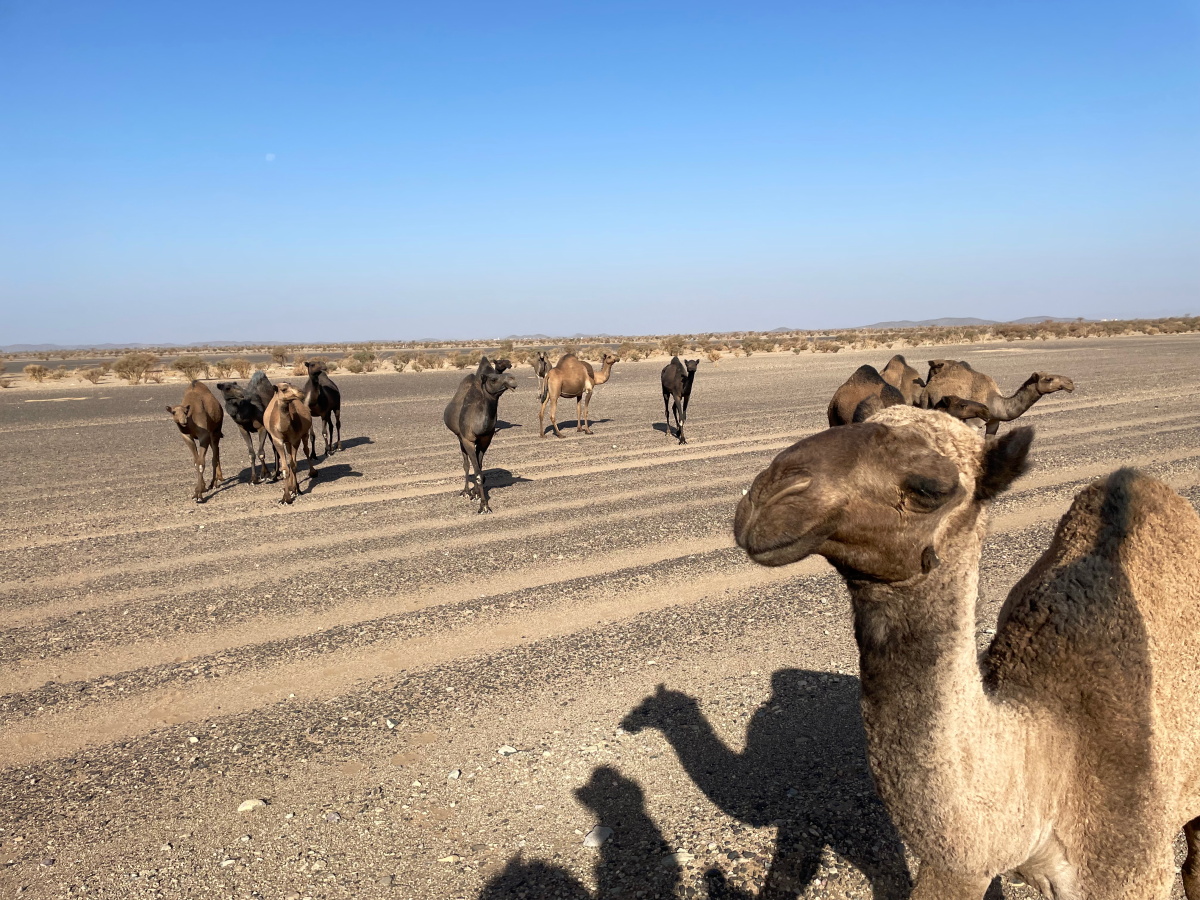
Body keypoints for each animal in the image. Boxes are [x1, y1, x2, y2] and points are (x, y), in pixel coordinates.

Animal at [444, 357, 517, 513]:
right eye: (494, 379)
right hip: (460, 437)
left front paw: (478, 495)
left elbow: (480, 469)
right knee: (466, 464)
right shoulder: (468, 440)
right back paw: (466, 491)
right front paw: (483, 506)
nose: (513, 379)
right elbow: (476, 472)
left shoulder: (485, 440)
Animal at [921, 359, 1074, 435]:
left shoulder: (994, 423)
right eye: (1049, 379)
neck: (995, 404)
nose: (1070, 383)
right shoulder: (972, 424)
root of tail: (927, 390)